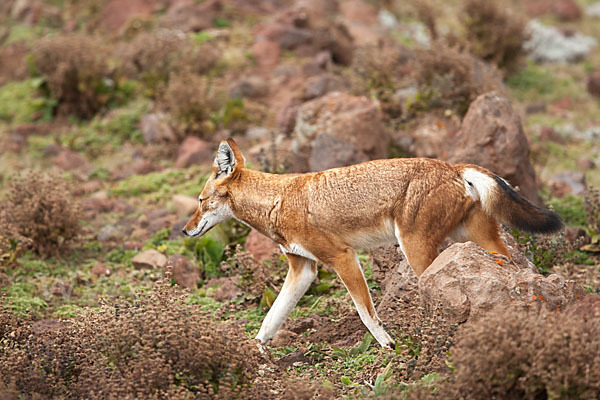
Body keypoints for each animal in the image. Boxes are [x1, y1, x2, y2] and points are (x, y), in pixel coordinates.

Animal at [182, 138, 564, 350]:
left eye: (200, 202)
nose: (185, 232)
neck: (278, 200)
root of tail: (454, 166)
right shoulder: (303, 269)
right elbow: (270, 320)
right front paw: (254, 354)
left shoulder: (343, 258)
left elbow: (366, 313)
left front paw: (388, 345)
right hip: (477, 243)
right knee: (515, 270)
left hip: (417, 251)